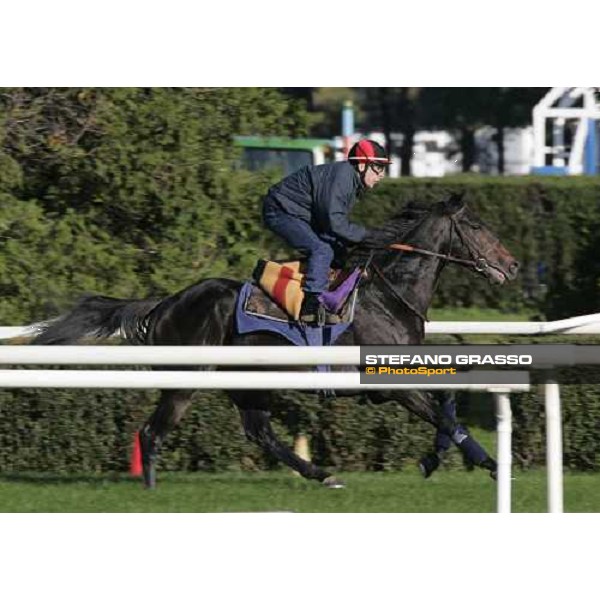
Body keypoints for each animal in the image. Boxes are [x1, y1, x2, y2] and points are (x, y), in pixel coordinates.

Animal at [34, 195, 520, 490]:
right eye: (477, 225)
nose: (513, 265)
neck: (389, 295)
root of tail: (165, 303)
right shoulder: (384, 383)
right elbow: (443, 415)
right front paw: (489, 464)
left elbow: (447, 404)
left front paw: (445, 459)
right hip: (187, 379)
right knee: (153, 431)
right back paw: (151, 490)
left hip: (246, 381)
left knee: (260, 431)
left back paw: (321, 473)